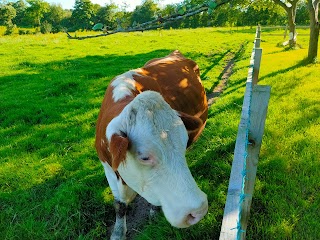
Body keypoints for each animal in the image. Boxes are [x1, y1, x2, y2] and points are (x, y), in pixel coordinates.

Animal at [94, 49, 210, 239]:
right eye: (144, 157)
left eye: (183, 143)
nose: (198, 210)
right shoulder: (108, 169)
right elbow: (119, 204)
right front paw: (118, 232)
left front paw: (154, 210)